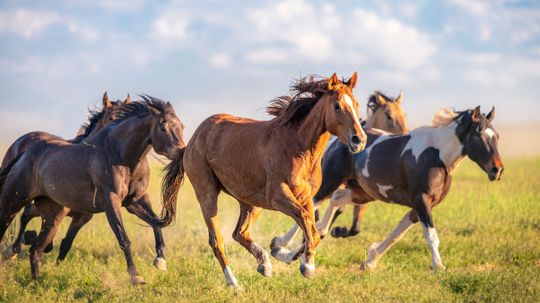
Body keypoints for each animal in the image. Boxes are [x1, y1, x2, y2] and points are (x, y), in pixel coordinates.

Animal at [2, 93, 129, 262]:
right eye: (111, 118)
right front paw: (23, 244)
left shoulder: (82, 217)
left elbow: (66, 243)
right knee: (23, 214)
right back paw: (15, 248)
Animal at [163, 73, 368, 288]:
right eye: (337, 105)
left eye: (356, 103)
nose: (359, 139)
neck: (298, 148)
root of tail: (192, 141)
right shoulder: (278, 197)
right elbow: (307, 223)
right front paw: (307, 267)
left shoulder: (306, 198)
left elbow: (312, 229)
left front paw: (285, 253)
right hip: (208, 195)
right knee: (217, 240)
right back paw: (234, 283)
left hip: (251, 202)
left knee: (240, 232)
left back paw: (265, 265)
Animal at [272, 91, 408, 251]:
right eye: (389, 116)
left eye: (404, 114)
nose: (406, 134)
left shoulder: (358, 192)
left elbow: (354, 225)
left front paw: (337, 231)